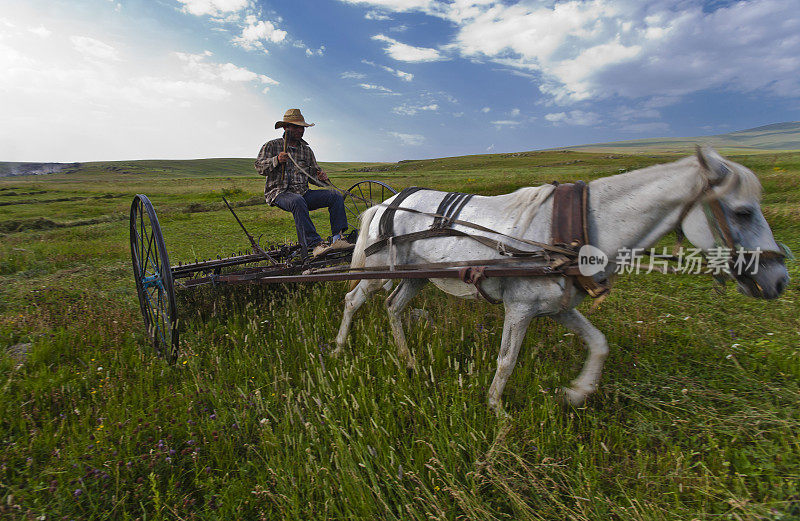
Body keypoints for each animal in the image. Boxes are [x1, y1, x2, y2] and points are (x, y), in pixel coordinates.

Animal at [332, 146, 788, 410]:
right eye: (743, 211)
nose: (780, 278)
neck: (576, 229)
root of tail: (386, 201)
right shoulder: (520, 308)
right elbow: (506, 361)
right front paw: (497, 411)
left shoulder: (558, 306)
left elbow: (599, 344)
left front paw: (577, 393)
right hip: (376, 271)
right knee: (354, 301)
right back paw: (338, 350)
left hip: (416, 278)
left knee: (393, 307)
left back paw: (408, 360)